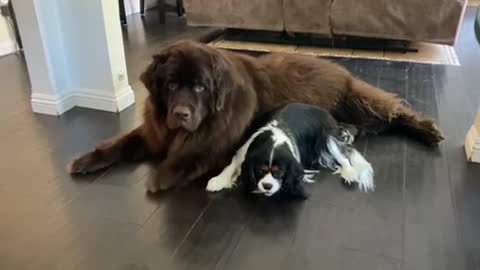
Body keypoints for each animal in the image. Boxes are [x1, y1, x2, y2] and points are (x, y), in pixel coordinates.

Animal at [206, 103, 376, 198]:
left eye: (279, 172)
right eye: (261, 170)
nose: (267, 186)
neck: (274, 135)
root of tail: (332, 118)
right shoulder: (244, 151)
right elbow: (231, 165)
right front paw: (219, 180)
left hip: (328, 138)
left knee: (343, 157)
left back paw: (349, 173)